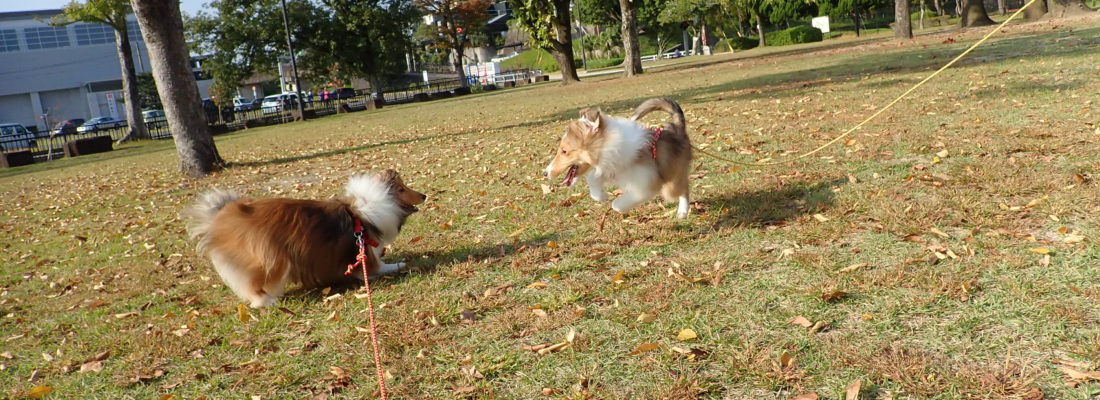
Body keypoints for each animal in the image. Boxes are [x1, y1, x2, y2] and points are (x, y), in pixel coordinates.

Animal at [184, 170, 424, 307]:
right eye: (402, 189)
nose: (424, 195)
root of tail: (222, 217)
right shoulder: (367, 257)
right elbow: (383, 266)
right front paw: (401, 264)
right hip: (273, 258)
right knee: (253, 285)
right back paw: (266, 301)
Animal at [545, 97, 690, 218]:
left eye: (564, 151)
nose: (545, 173)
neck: (608, 148)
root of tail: (678, 128)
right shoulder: (609, 169)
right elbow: (592, 179)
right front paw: (601, 196)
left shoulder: (646, 183)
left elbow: (617, 204)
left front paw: (620, 205)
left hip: (672, 182)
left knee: (683, 189)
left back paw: (682, 211)